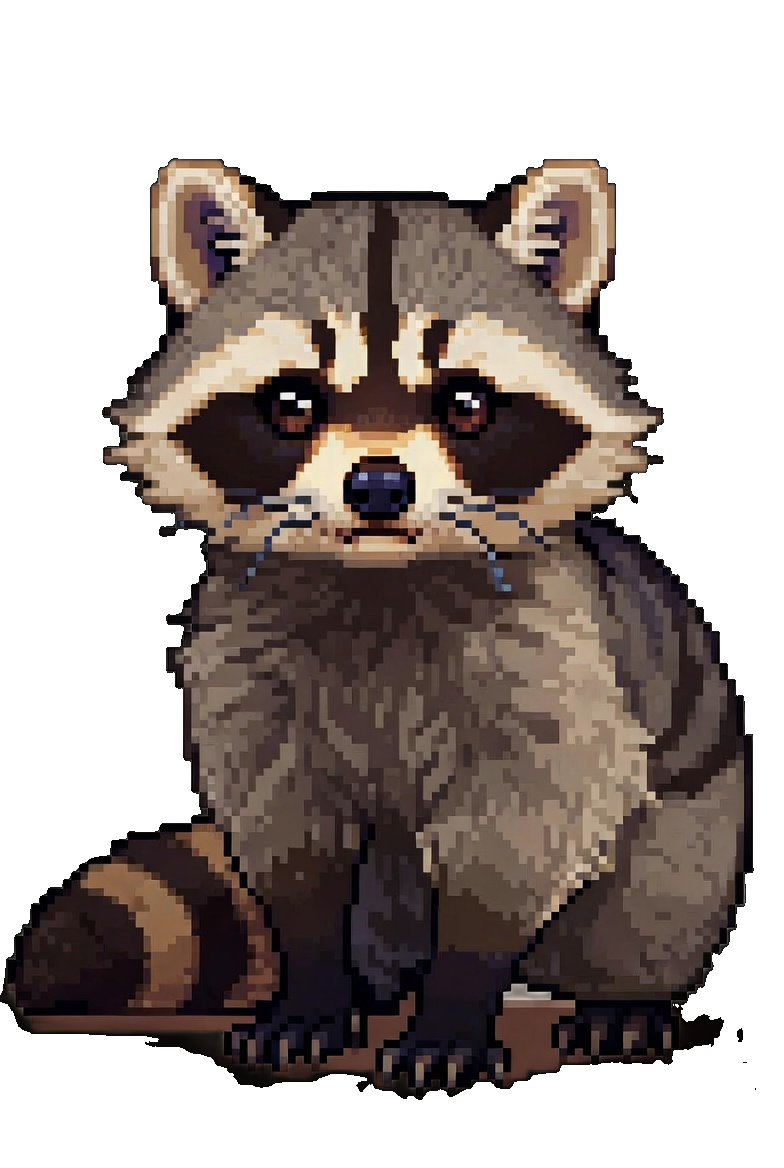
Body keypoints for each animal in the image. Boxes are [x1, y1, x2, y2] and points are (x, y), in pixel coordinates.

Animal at [11, 161, 748, 1089]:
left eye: (466, 402)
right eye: (292, 402)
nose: (379, 486)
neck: (378, 575)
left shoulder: (552, 659)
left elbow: (523, 827)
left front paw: (458, 1003)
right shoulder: (249, 663)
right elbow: (288, 835)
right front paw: (312, 989)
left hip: (696, 817)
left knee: (652, 899)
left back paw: (618, 997)